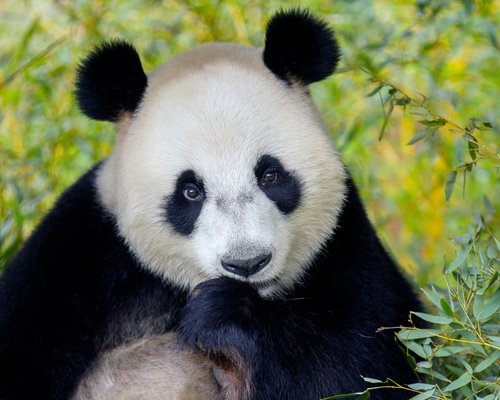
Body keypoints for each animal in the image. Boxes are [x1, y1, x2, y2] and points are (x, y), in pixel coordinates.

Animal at [0, 9, 422, 400]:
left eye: (270, 175)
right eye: (190, 191)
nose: (247, 264)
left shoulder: (346, 244)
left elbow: (362, 365)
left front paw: (222, 314)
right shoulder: (79, 254)